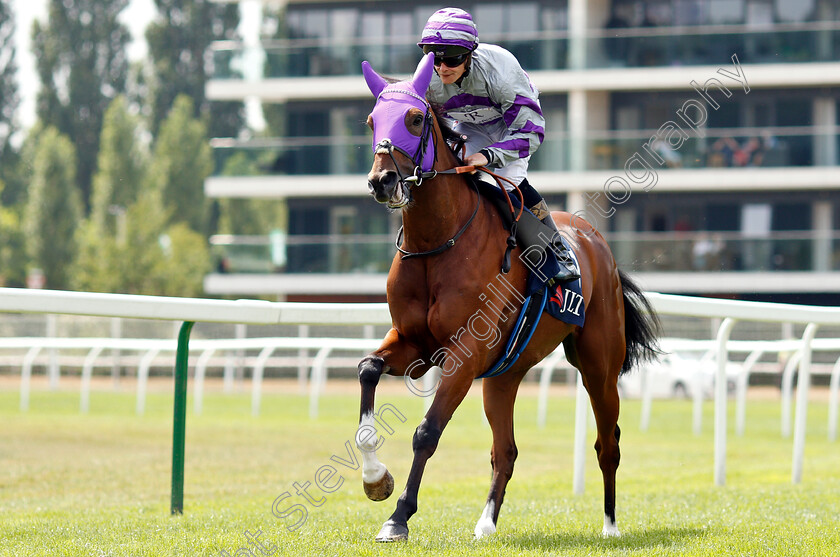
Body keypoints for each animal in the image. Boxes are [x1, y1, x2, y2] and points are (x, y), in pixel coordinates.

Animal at [352, 54, 660, 540]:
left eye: (415, 118)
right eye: (371, 121)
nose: (381, 181)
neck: (437, 242)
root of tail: (598, 245)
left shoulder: (464, 354)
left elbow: (427, 432)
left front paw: (398, 517)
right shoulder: (415, 344)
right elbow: (367, 369)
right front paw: (375, 479)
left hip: (599, 365)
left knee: (607, 443)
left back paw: (610, 526)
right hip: (504, 374)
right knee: (506, 450)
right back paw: (486, 523)